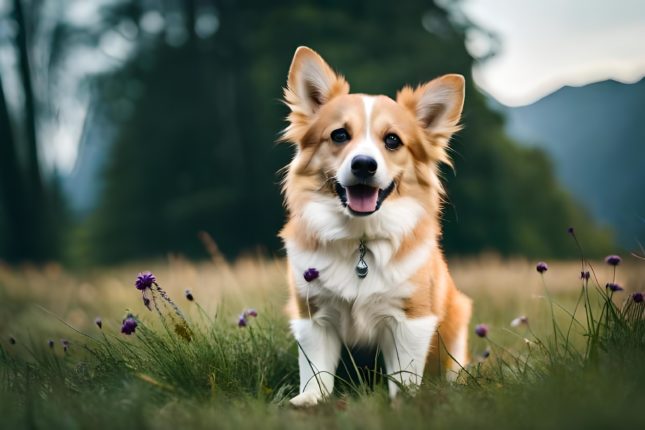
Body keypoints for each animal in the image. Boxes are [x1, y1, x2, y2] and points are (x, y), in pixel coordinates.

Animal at [280, 46, 470, 406]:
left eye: (392, 140)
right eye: (339, 135)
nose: (364, 165)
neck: (360, 240)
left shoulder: (411, 319)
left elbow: (404, 374)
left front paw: (403, 402)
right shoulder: (314, 316)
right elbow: (316, 371)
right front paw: (310, 400)